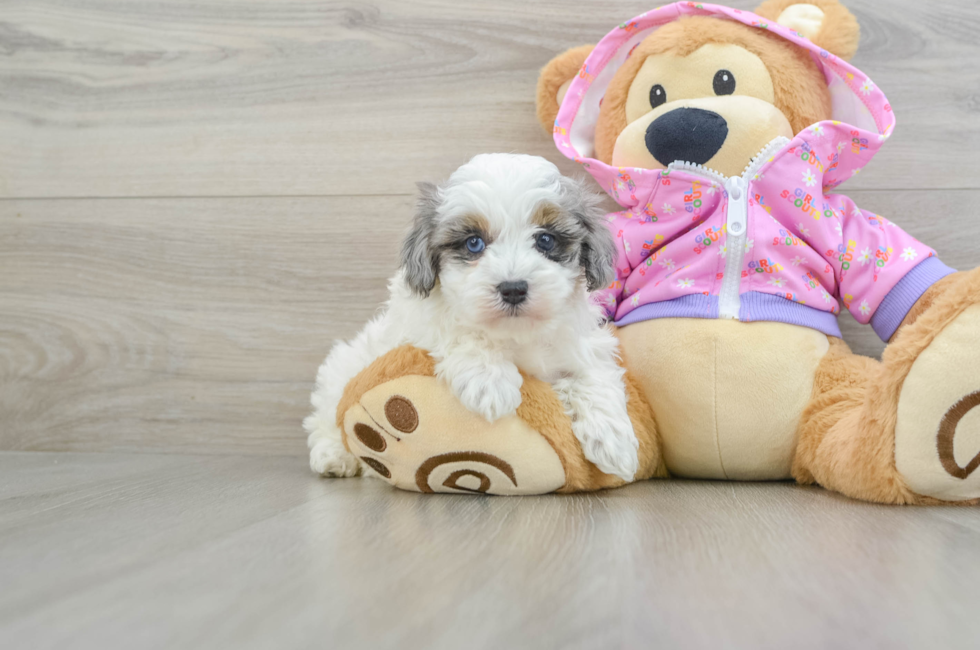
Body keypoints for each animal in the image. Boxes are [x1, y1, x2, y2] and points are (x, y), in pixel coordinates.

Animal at [308, 153, 644, 480]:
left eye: (545, 240)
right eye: (474, 243)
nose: (513, 288)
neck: (513, 331)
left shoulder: (585, 343)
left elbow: (594, 374)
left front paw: (613, 440)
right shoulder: (419, 323)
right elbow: (457, 331)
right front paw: (490, 381)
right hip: (343, 366)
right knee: (327, 414)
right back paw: (334, 456)